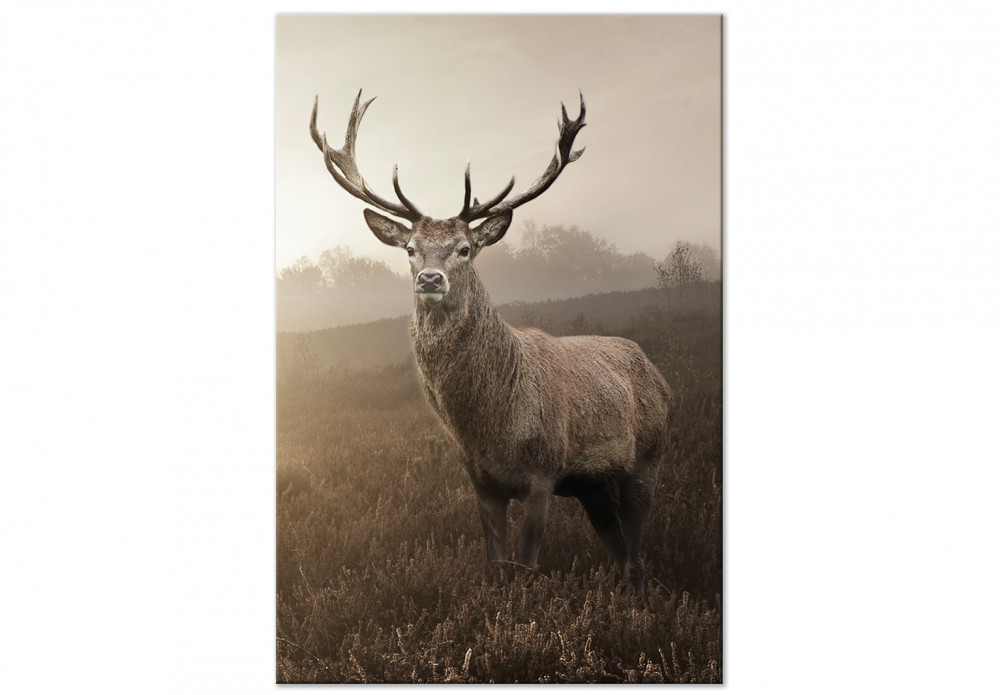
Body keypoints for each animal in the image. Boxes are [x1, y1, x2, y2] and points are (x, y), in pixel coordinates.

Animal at [310, 90, 674, 593]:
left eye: (465, 248)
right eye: (410, 249)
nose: (430, 278)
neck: (491, 426)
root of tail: (659, 375)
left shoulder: (544, 470)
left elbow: (527, 564)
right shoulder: (481, 482)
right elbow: (494, 562)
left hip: (648, 459)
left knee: (638, 552)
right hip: (594, 486)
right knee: (622, 553)